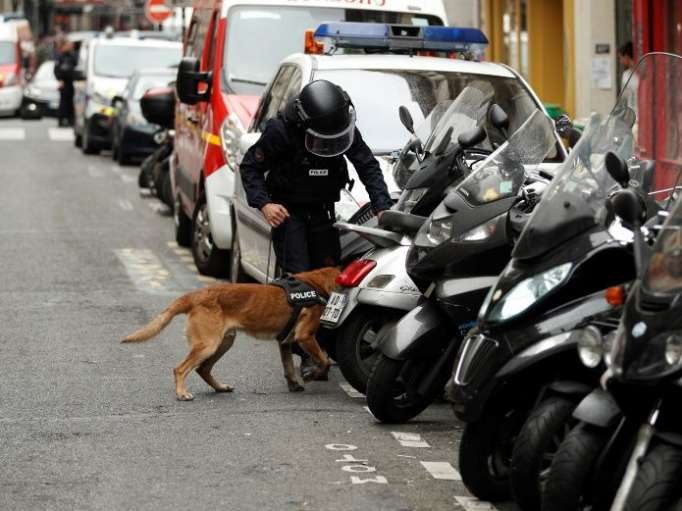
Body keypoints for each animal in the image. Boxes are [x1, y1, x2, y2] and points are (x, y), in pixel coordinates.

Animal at [121, 266, 338, 402]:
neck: (316, 282)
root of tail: (196, 295)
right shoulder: (305, 336)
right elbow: (324, 360)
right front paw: (313, 375)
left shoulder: (284, 342)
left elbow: (289, 367)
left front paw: (294, 384)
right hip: (209, 345)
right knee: (181, 369)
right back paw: (182, 393)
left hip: (223, 343)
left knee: (203, 369)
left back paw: (220, 387)